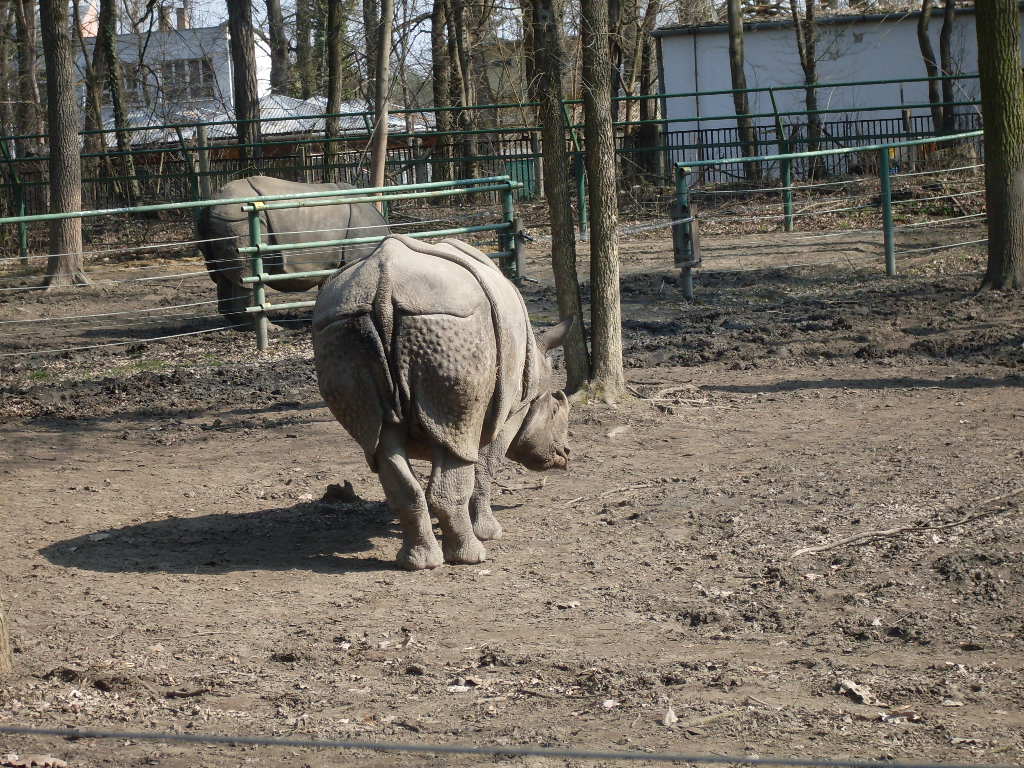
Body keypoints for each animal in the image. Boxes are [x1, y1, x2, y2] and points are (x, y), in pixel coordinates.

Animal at [197, 176, 390, 322]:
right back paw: (272, 329)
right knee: (247, 275)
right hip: (238, 219)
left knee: (224, 276)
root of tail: (212, 203)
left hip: (224, 219)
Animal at [312, 234, 572, 570]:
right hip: (453, 326)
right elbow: (485, 469)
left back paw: (418, 563)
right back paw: (471, 557)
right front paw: (491, 532)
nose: (565, 454)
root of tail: (383, 283)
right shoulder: (512, 411)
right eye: (555, 410)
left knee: (381, 441)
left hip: (341, 329)